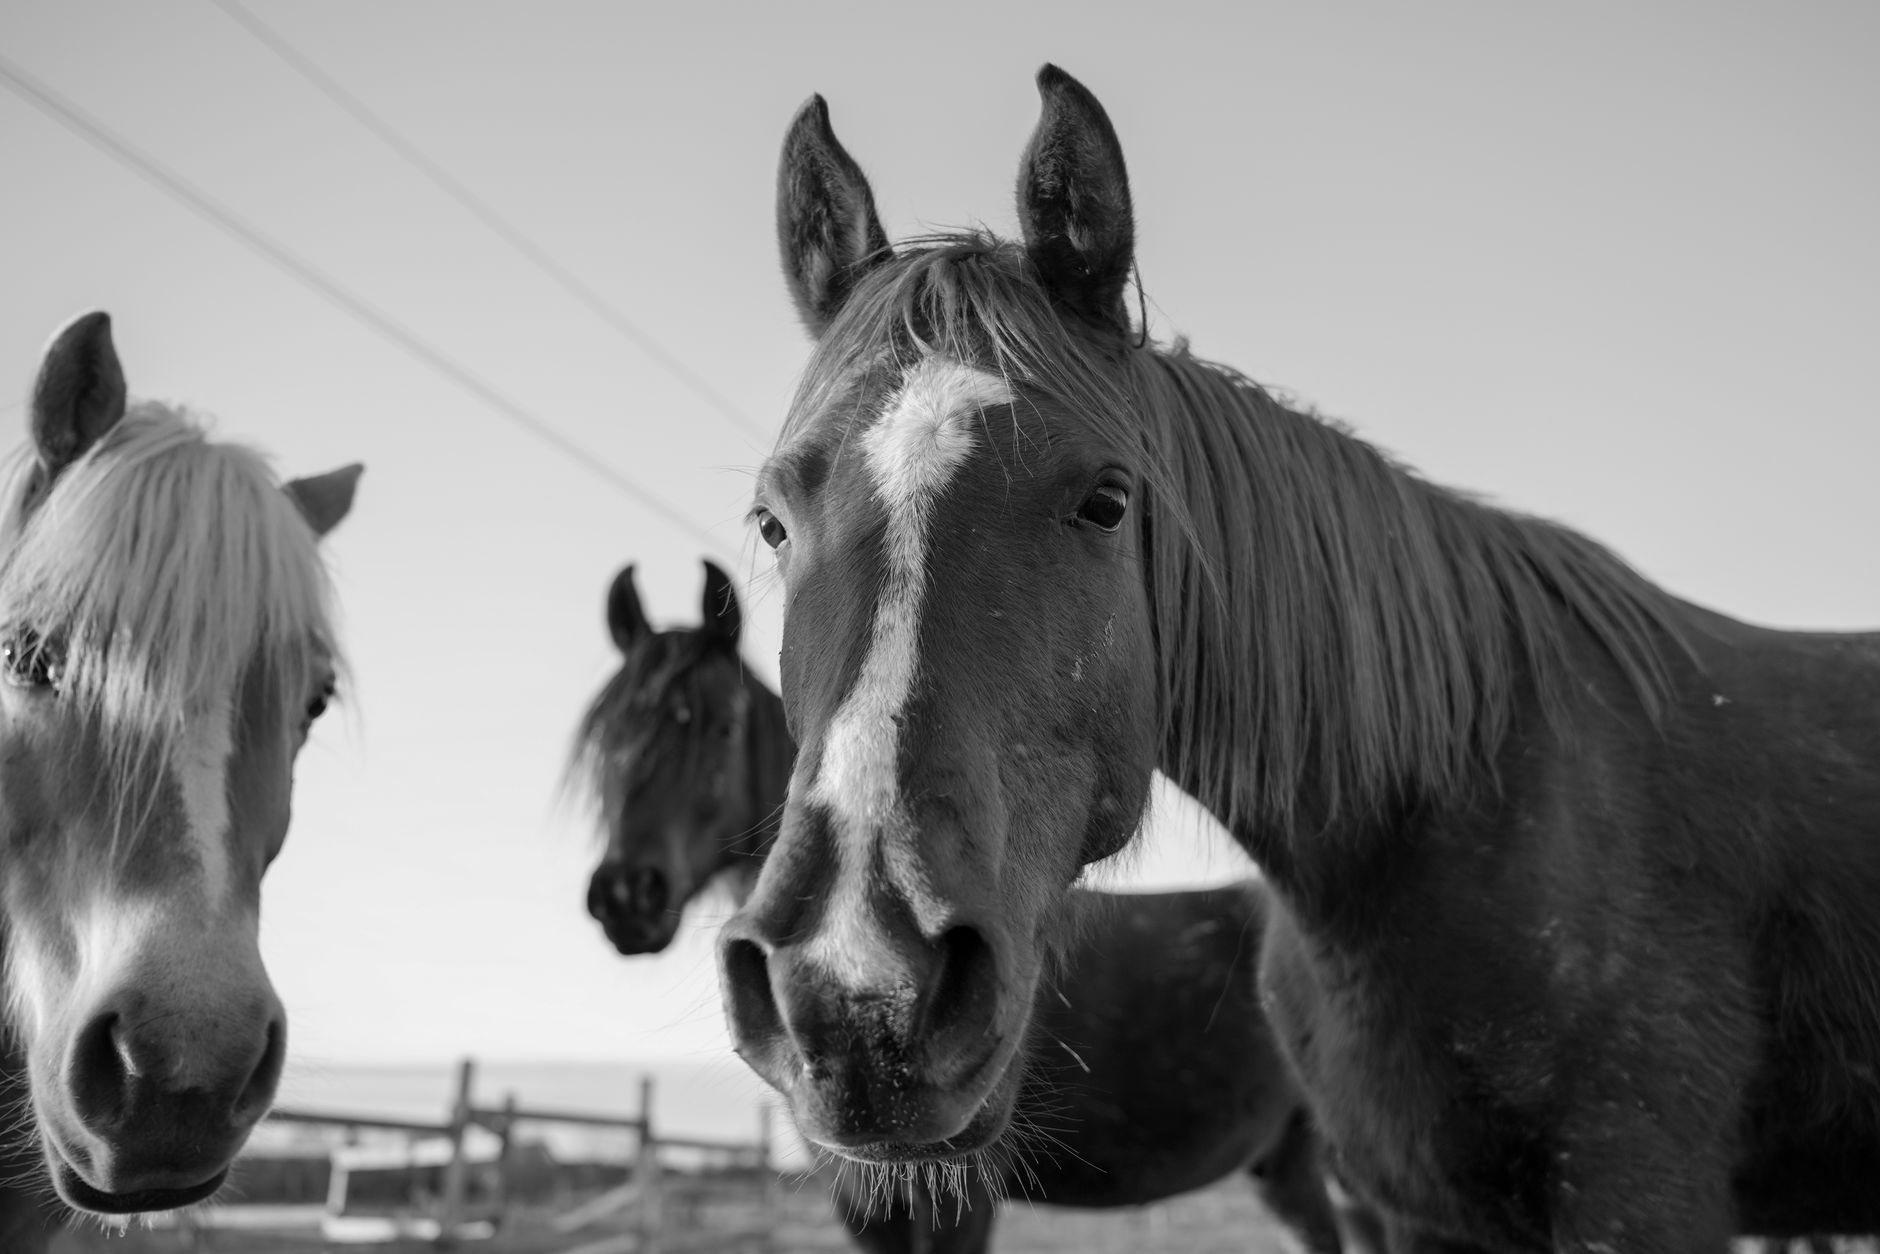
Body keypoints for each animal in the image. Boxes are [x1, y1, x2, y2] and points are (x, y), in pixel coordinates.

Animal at [717, 65, 1880, 1253]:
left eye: (1107, 501)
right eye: (771, 520)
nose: (857, 991)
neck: (1450, 813)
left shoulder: (1639, 1192)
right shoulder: (1419, 1209)